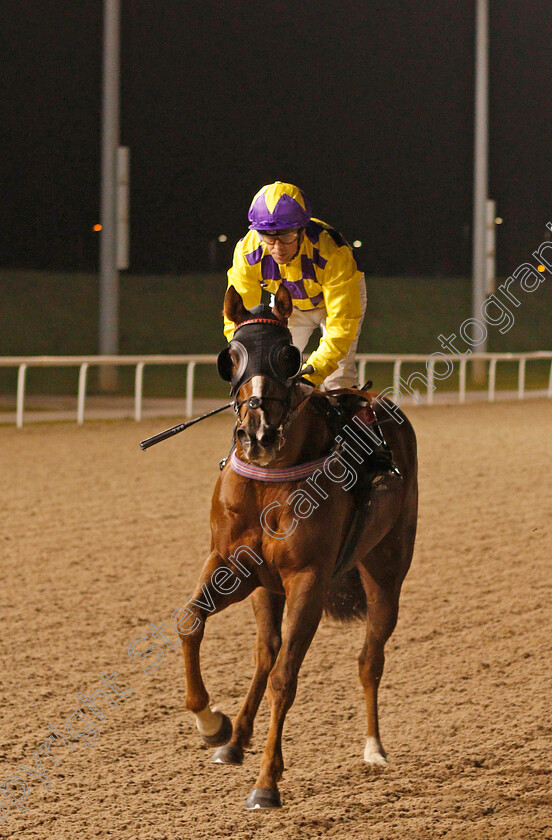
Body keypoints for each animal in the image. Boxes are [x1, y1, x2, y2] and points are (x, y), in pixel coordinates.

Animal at [177, 286, 418, 812]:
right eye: (231, 356)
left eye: (288, 354)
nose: (258, 433)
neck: (270, 477)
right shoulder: (231, 565)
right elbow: (189, 622)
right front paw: (213, 724)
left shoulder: (308, 578)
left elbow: (286, 677)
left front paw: (267, 783)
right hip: (267, 589)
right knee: (264, 654)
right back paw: (233, 742)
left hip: (386, 570)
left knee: (369, 660)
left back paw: (374, 748)